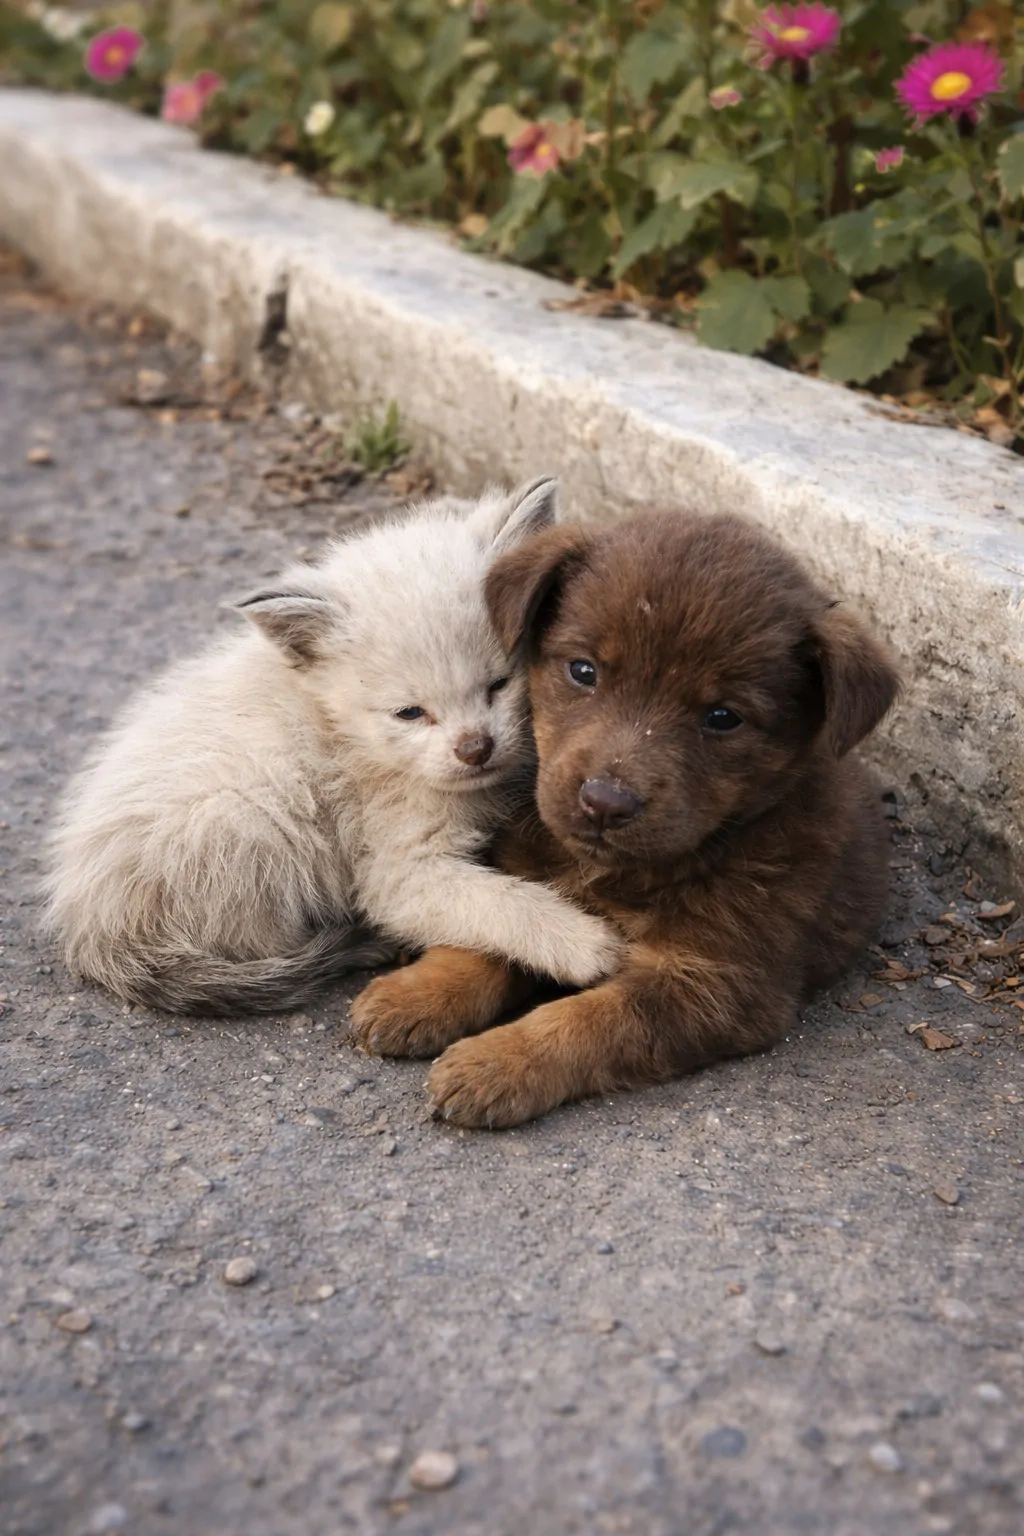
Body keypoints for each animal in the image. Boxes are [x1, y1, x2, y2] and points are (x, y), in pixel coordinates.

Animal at [44, 478, 623, 1014]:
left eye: (499, 684)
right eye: (409, 713)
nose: (475, 747)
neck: (344, 731)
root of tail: (94, 924)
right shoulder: (401, 869)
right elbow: (497, 901)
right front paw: (583, 943)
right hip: (253, 819)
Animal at [349, 509, 901, 1127]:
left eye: (723, 717)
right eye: (583, 670)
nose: (605, 802)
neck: (614, 871)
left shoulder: (716, 981)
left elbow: (590, 1020)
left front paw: (496, 1063)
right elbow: (497, 931)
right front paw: (415, 995)